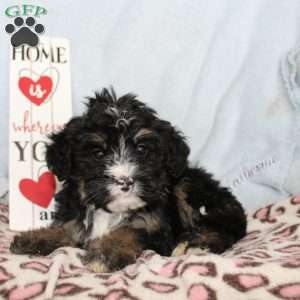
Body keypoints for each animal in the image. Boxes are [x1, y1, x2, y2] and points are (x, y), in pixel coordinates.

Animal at [10, 87, 247, 272]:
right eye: (98, 153)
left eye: (142, 149)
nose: (125, 181)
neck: (110, 212)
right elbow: (70, 227)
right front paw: (37, 238)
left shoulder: (157, 229)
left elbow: (130, 231)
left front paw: (106, 253)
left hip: (187, 187)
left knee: (225, 228)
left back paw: (196, 245)